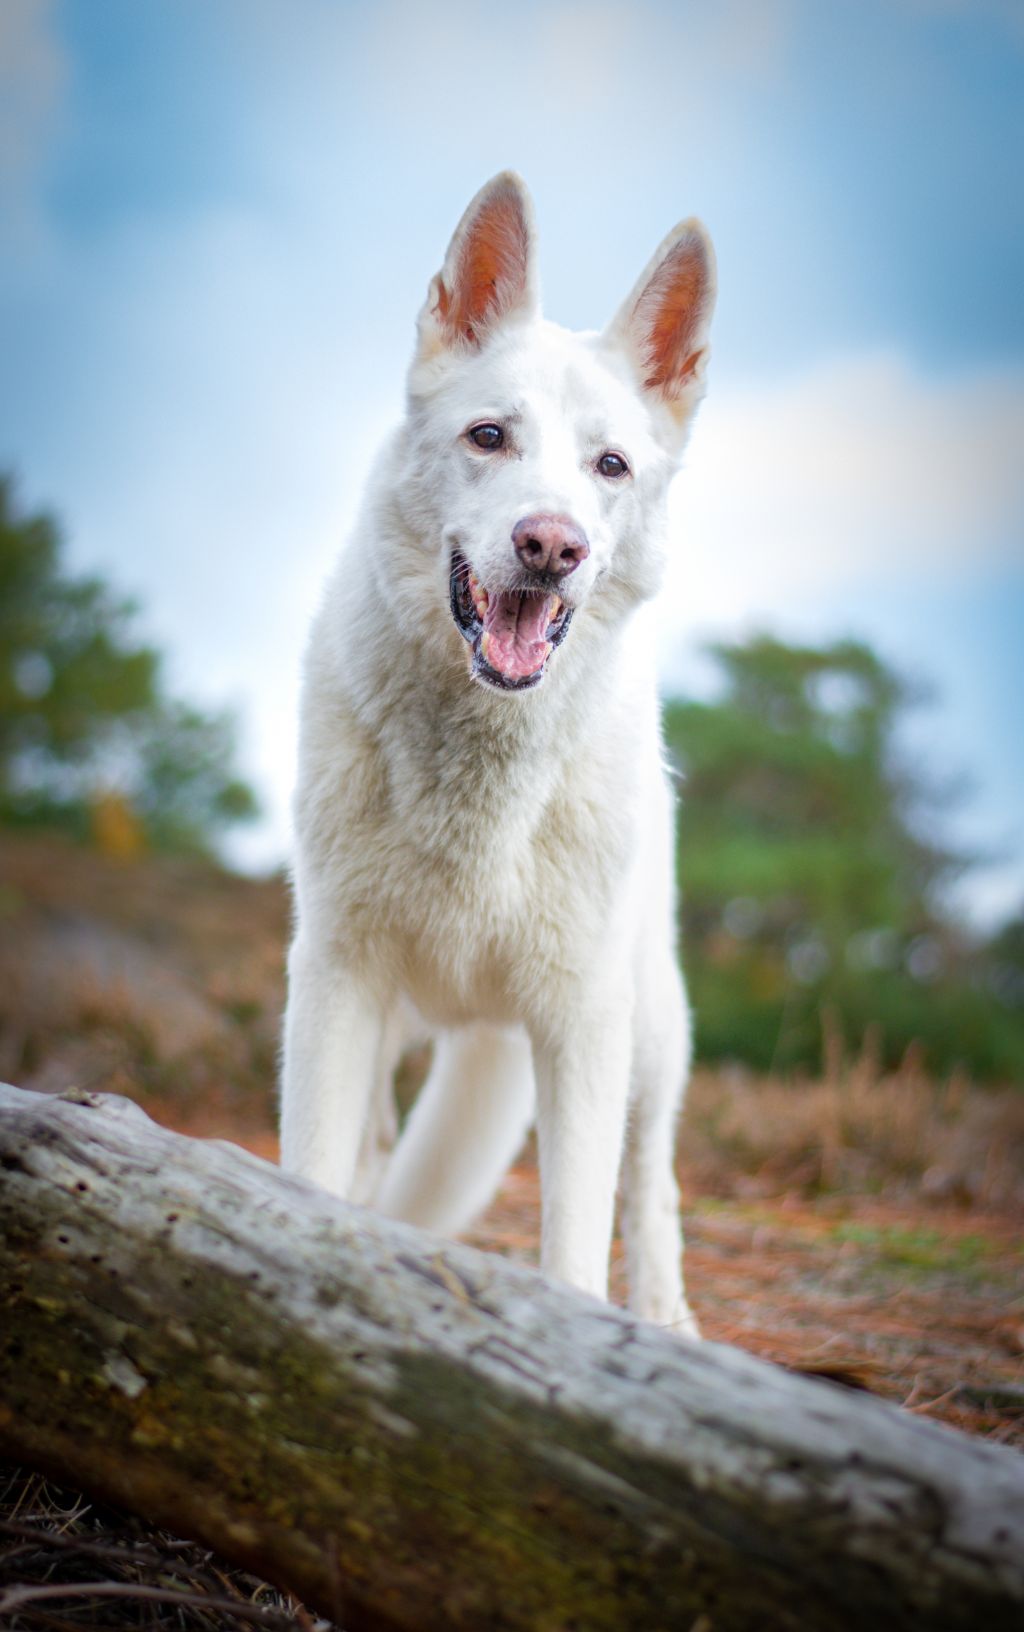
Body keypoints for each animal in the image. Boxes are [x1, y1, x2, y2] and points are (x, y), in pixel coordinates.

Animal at [280, 172, 712, 1331]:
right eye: (488, 437)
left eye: (610, 466)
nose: (551, 545)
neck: (482, 766)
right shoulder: (336, 983)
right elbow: (311, 1176)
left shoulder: (582, 1028)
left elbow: (576, 1248)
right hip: (393, 1027)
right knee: (375, 1152)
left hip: (650, 1033)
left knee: (651, 1183)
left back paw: (668, 1317)